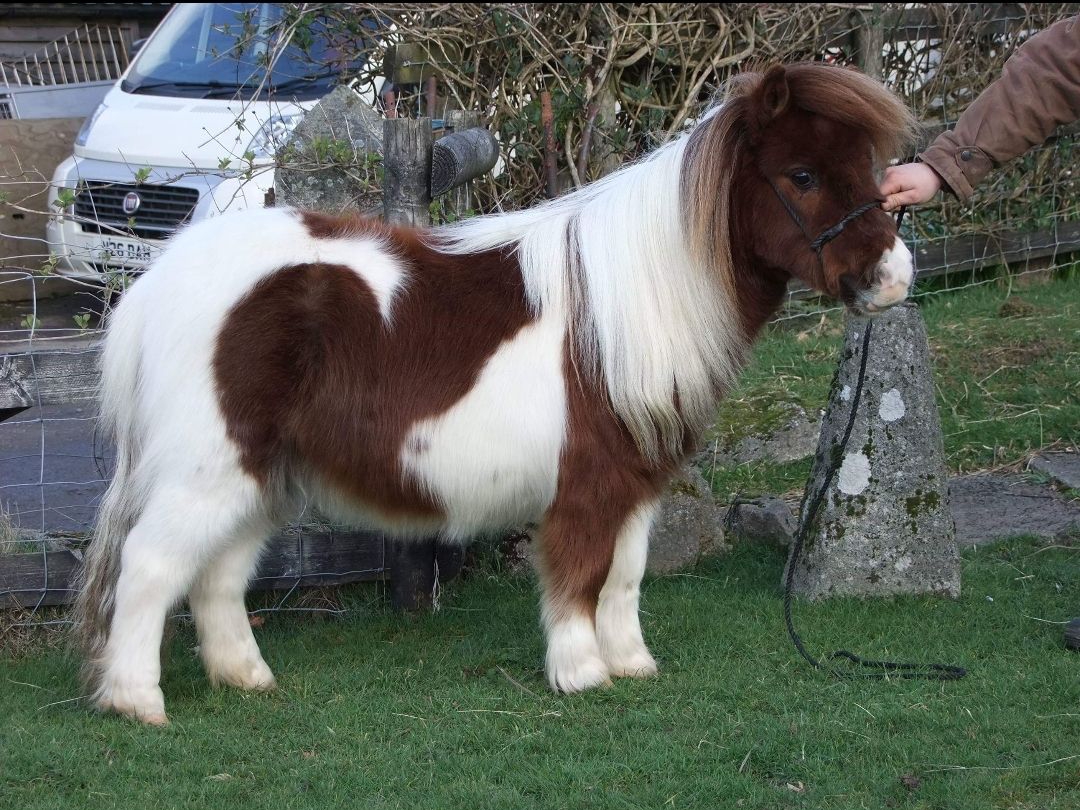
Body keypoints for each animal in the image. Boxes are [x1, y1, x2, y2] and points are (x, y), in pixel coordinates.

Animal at [73, 63, 916, 724]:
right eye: (801, 175)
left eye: (869, 168)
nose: (893, 276)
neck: (624, 304)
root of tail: (158, 281)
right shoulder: (585, 485)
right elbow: (578, 577)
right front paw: (581, 673)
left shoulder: (636, 484)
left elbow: (626, 576)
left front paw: (631, 663)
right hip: (208, 469)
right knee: (150, 566)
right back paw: (138, 701)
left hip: (257, 475)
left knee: (216, 575)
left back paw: (246, 678)